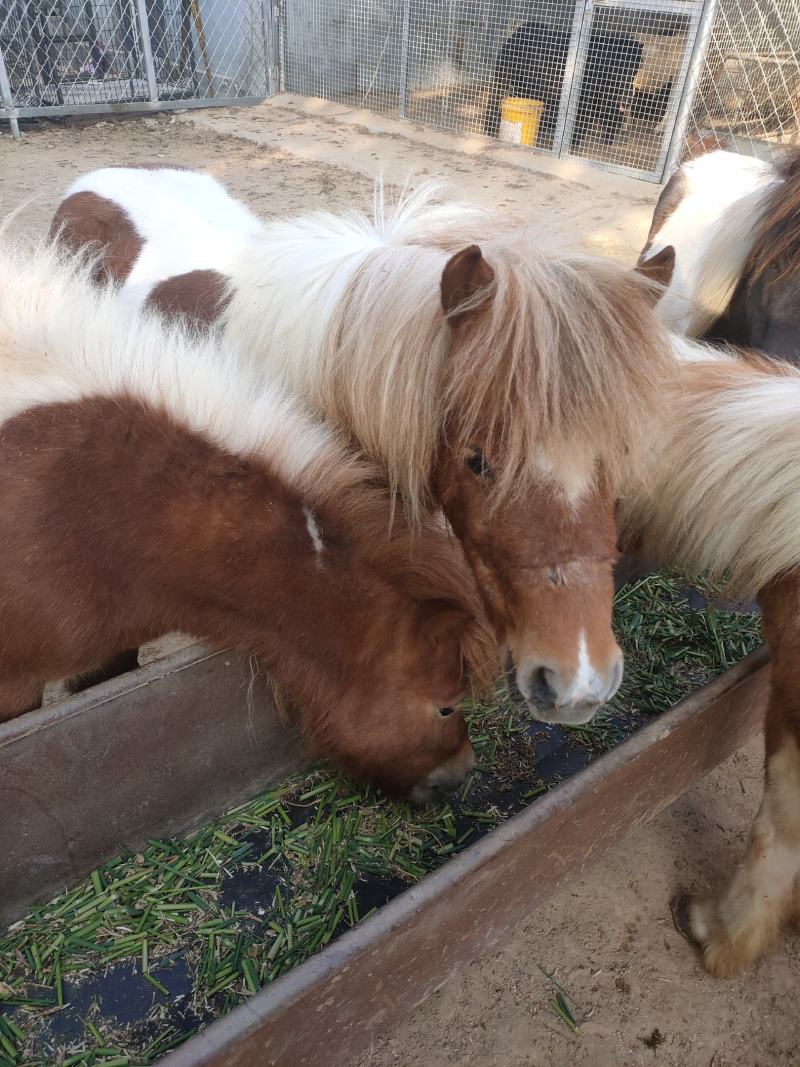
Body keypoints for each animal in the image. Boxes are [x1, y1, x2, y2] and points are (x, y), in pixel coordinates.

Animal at [482, 21, 643, 153]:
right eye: (618, 69)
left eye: (635, 70)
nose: (629, 99)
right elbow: (580, 122)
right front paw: (571, 146)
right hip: (505, 75)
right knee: (495, 98)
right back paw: (489, 130)